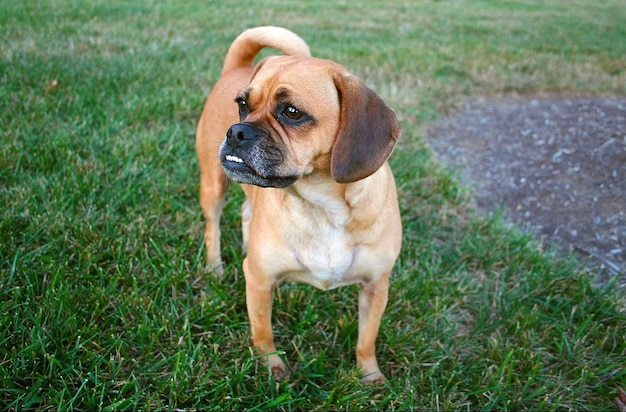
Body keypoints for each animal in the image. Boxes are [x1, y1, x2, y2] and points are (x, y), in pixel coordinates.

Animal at [195, 26, 400, 384]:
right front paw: (271, 369)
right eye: (242, 105)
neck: (321, 208)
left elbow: (367, 339)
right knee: (213, 226)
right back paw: (215, 266)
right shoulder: (260, 283)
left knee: (246, 211)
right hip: (213, 185)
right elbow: (263, 333)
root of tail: (235, 68)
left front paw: (370, 376)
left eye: (292, 113)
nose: (237, 131)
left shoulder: (376, 286)